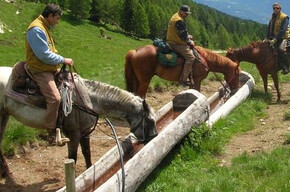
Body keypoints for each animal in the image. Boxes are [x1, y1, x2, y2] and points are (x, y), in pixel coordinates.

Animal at [0, 67, 157, 178]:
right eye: (149, 120)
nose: (154, 137)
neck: (88, 99)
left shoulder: (85, 132)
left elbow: (87, 153)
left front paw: (88, 171)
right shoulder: (73, 135)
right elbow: (73, 158)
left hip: (4, 116)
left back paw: (6, 173)